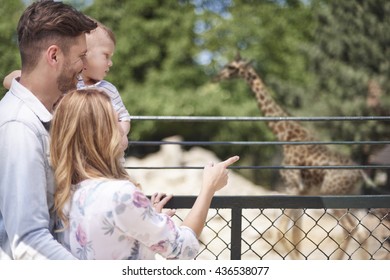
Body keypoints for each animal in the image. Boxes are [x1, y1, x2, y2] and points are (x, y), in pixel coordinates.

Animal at [212, 52, 370, 258]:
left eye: (231, 67)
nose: (216, 77)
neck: (284, 135)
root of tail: (360, 174)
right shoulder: (301, 192)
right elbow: (296, 237)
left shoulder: (292, 187)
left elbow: (280, 232)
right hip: (352, 197)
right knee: (362, 232)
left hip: (332, 194)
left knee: (351, 229)